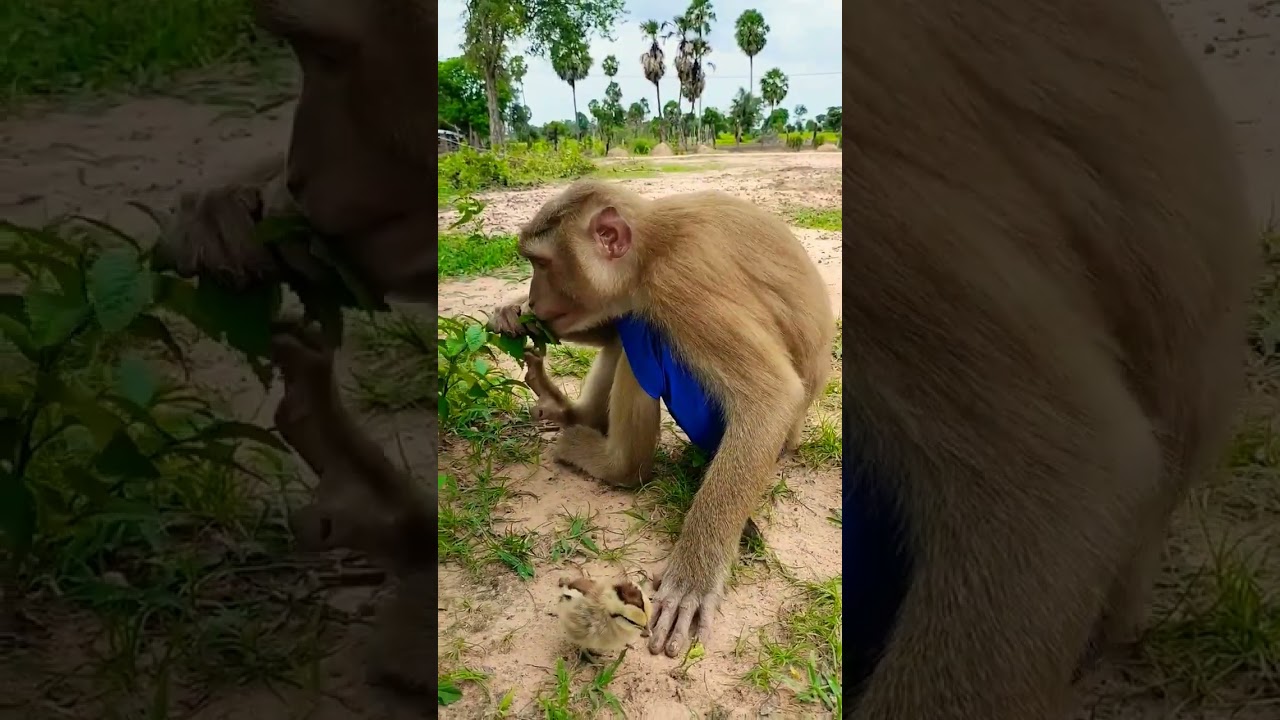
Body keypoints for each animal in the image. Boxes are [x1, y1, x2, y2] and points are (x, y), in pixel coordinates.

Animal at [488, 179, 836, 658]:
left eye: (542, 263)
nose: (535, 295)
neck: (651, 247)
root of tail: (796, 439)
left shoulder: (679, 283)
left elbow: (770, 396)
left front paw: (693, 579)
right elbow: (608, 316)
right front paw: (514, 312)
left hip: (707, 419)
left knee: (644, 331)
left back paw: (615, 465)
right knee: (625, 328)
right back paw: (573, 413)